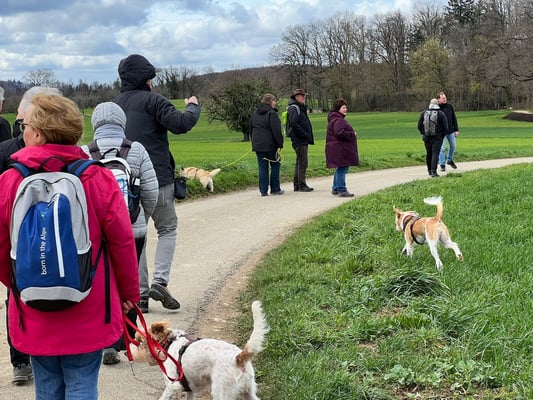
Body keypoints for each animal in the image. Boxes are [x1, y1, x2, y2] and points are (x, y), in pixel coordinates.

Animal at [129, 301, 268, 400]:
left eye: (139, 341)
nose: (126, 352)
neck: (168, 343)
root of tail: (238, 357)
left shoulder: (172, 385)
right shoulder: (190, 389)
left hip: (220, 393)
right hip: (249, 393)